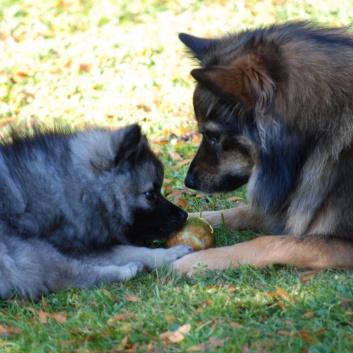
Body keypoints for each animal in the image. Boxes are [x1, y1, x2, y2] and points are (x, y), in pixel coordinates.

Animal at [0, 124, 191, 296]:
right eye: (150, 194)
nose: (184, 215)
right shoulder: (74, 245)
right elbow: (126, 251)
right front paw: (168, 254)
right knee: (68, 276)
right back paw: (128, 270)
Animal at [173, 21, 353, 276]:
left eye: (213, 135)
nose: (189, 182)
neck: (321, 132)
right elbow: (240, 212)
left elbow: (269, 242)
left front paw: (198, 262)